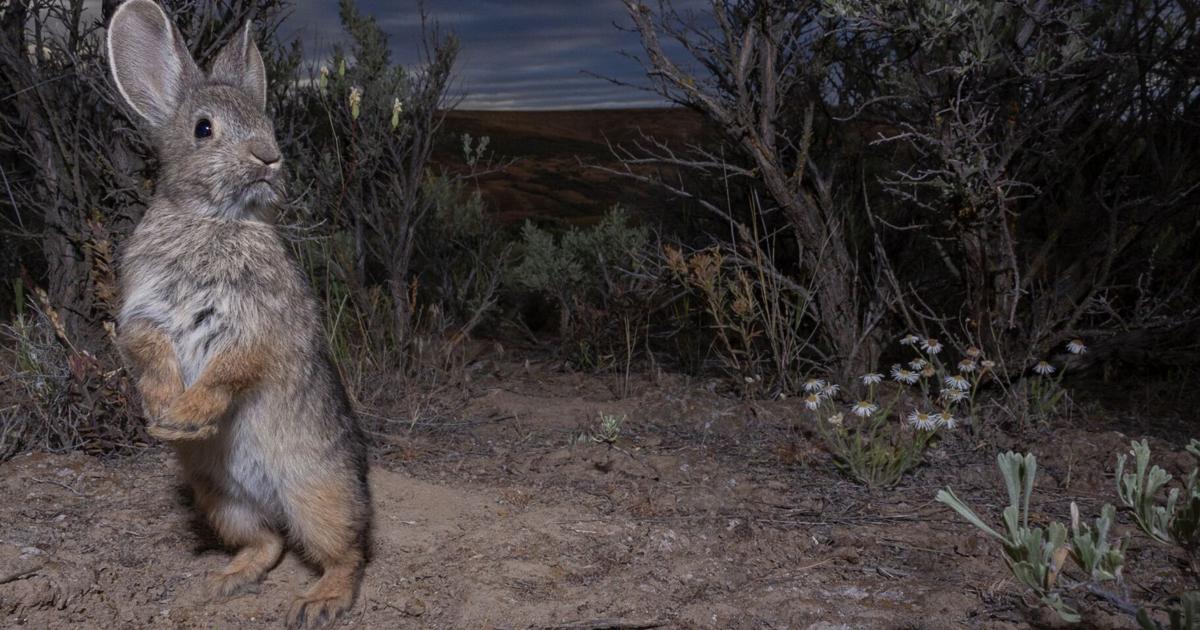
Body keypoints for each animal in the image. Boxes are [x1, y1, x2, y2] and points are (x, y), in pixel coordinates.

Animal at [106, 1, 370, 626]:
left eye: (268, 124)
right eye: (203, 129)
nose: (270, 157)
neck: (215, 220)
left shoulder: (258, 327)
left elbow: (231, 369)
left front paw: (186, 415)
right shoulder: (142, 314)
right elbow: (150, 354)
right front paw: (166, 414)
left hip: (318, 492)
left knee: (345, 552)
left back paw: (318, 602)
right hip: (220, 498)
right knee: (267, 543)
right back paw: (225, 582)